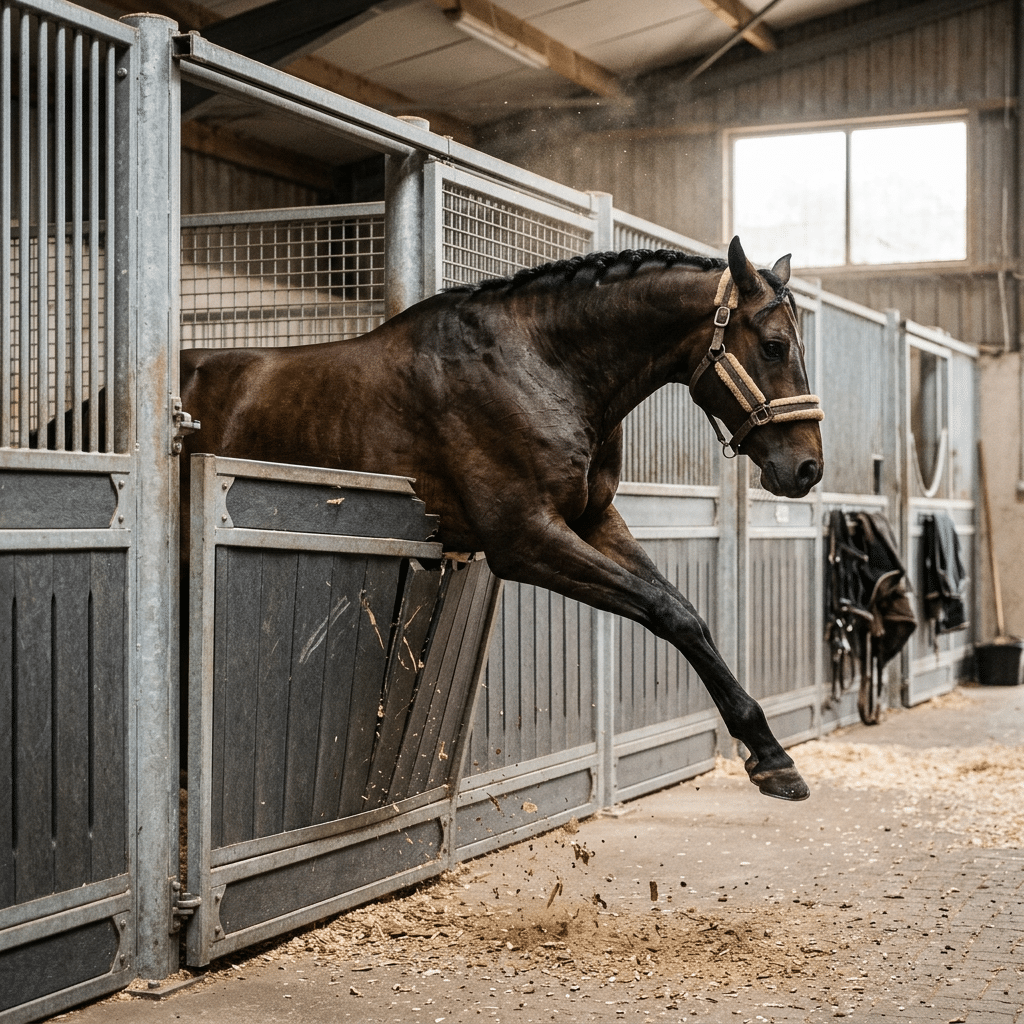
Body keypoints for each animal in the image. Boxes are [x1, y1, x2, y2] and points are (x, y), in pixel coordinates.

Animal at [180, 236, 824, 801]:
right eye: (773, 345)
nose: (807, 468)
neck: (542, 366)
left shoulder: (594, 521)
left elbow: (686, 614)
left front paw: (771, 757)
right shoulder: (525, 539)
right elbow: (668, 613)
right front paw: (773, 759)